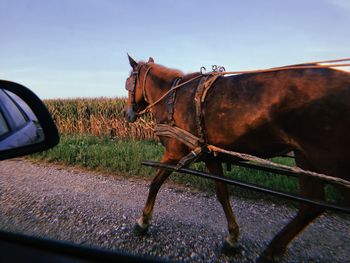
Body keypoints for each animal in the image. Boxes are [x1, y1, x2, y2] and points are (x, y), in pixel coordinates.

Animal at [123, 55, 350, 262]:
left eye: (128, 84)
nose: (127, 114)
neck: (173, 97)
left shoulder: (173, 153)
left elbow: (155, 184)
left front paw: (143, 222)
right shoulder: (210, 155)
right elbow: (223, 195)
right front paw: (232, 237)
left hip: (326, 160)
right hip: (305, 157)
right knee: (311, 206)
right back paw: (273, 249)